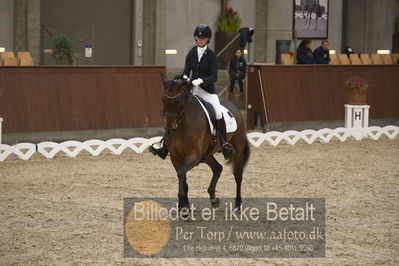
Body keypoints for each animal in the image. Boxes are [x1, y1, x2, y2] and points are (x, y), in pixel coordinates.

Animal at [159, 75, 250, 212]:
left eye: (177, 101)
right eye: (163, 99)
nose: (169, 129)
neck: (182, 124)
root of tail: (235, 108)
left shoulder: (193, 156)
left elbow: (181, 173)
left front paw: (183, 207)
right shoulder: (175, 157)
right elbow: (182, 178)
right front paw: (184, 206)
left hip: (237, 150)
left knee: (238, 175)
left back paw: (238, 205)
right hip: (206, 154)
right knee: (218, 168)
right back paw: (214, 199)